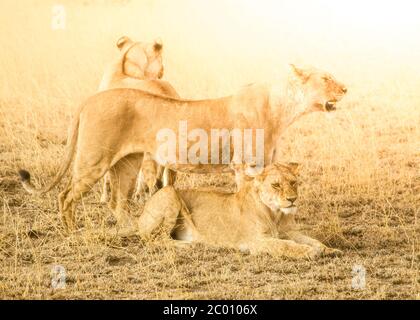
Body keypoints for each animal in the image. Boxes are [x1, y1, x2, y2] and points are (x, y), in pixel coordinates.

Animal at [18, 64, 348, 230]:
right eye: (325, 78)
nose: (345, 88)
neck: (283, 110)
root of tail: (89, 99)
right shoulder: (246, 164)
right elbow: (248, 199)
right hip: (94, 159)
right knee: (65, 195)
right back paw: (72, 233)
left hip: (128, 162)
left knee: (117, 201)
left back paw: (133, 228)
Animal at [139, 164, 342, 258]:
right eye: (276, 185)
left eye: (293, 182)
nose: (292, 199)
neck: (275, 214)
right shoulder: (256, 242)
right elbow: (286, 245)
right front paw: (311, 252)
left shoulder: (289, 232)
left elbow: (313, 240)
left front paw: (329, 249)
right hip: (169, 192)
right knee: (155, 239)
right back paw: (192, 245)